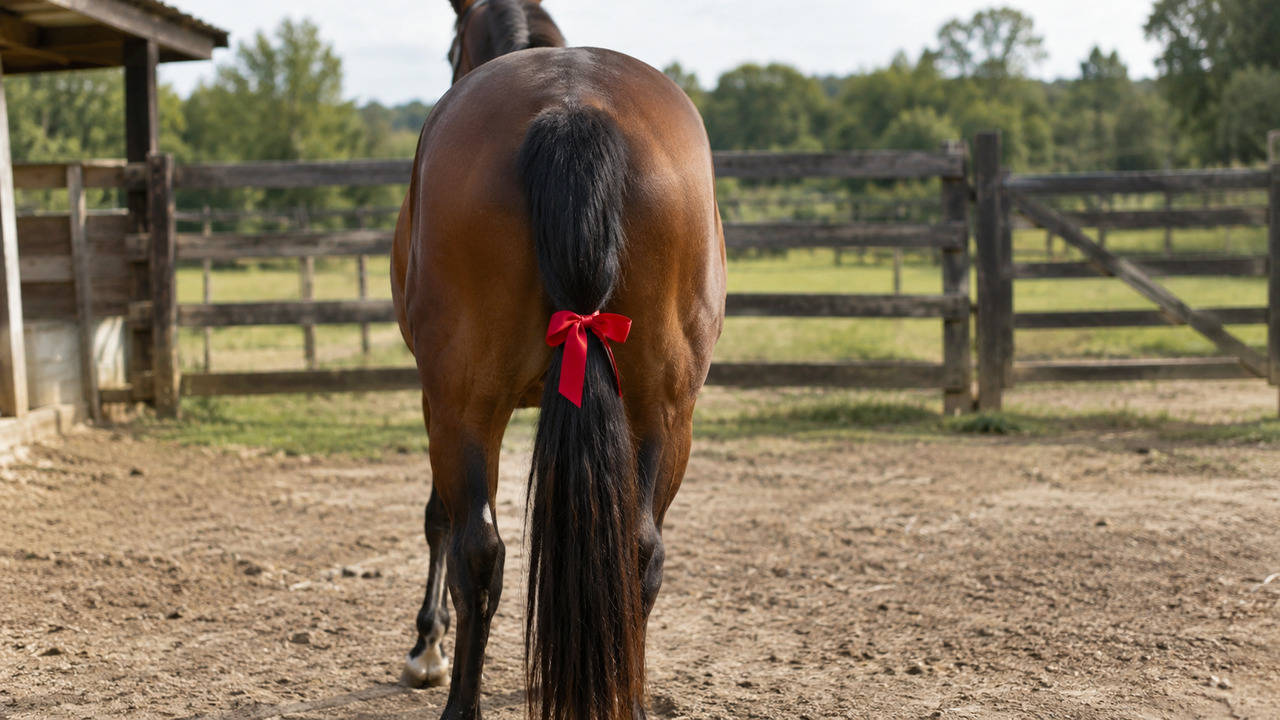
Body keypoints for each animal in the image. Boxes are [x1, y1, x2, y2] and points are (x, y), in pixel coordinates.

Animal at [389, 1, 726, 718]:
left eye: (450, 50)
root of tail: (573, 110)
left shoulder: (434, 396)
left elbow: (438, 518)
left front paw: (427, 646)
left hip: (463, 405)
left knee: (477, 550)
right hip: (663, 410)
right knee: (637, 551)